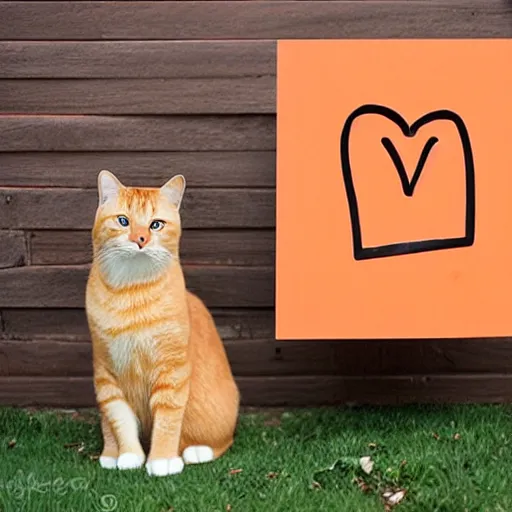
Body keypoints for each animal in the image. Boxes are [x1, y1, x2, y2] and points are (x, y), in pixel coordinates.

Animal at [85, 171, 240, 476]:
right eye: (123, 221)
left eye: (156, 224)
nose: (141, 239)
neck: (131, 292)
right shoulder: (107, 375)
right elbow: (119, 420)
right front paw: (129, 455)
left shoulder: (172, 373)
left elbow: (167, 422)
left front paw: (161, 460)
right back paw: (109, 454)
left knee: (222, 441)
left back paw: (196, 451)